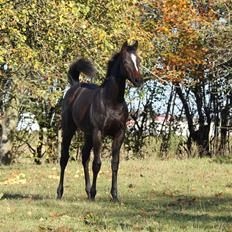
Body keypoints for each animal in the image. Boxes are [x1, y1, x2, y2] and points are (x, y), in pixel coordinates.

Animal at [57, 41, 142, 201]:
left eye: (138, 61)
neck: (112, 101)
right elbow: (97, 163)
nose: (138, 80)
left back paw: (87, 191)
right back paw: (60, 193)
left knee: (84, 157)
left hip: (88, 135)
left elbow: (115, 164)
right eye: (126, 62)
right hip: (69, 129)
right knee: (64, 158)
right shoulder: (98, 133)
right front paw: (94, 193)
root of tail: (75, 86)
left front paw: (114, 195)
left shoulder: (119, 134)